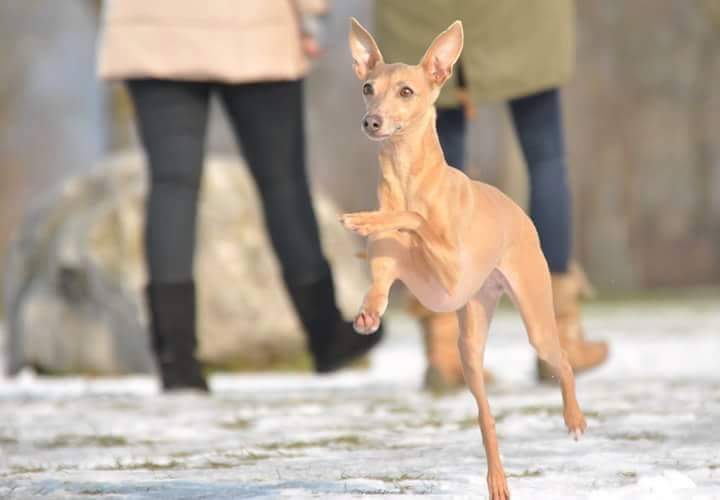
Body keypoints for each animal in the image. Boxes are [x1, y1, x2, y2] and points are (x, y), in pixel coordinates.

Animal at [342, 17, 584, 498]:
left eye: (406, 91)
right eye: (367, 87)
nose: (371, 121)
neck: (407, 176)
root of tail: (517, 210)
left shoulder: (450, 268)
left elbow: (413, 216)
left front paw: (365, 219)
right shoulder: (395, 269)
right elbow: (381, 275)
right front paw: (368, 311)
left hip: (534, 316)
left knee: (562, 360)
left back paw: (574, 419)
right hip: (470, 342)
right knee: (486, 418)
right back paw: (496, 478)